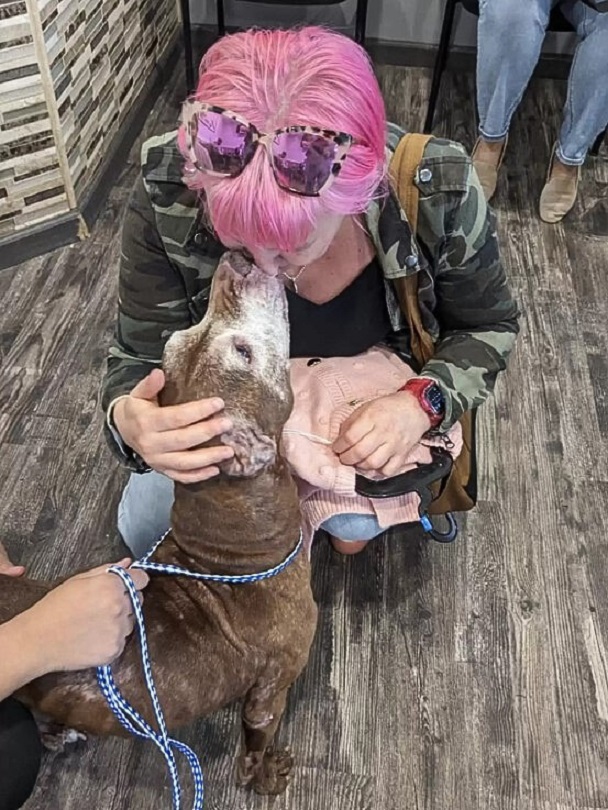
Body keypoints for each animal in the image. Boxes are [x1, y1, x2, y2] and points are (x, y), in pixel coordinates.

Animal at [0, 254, 320, 796]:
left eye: (175, 339)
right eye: (243, 352)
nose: (235, 262)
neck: (232, 555)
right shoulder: (271, 687)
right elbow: (257, 739)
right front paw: (266, 774)